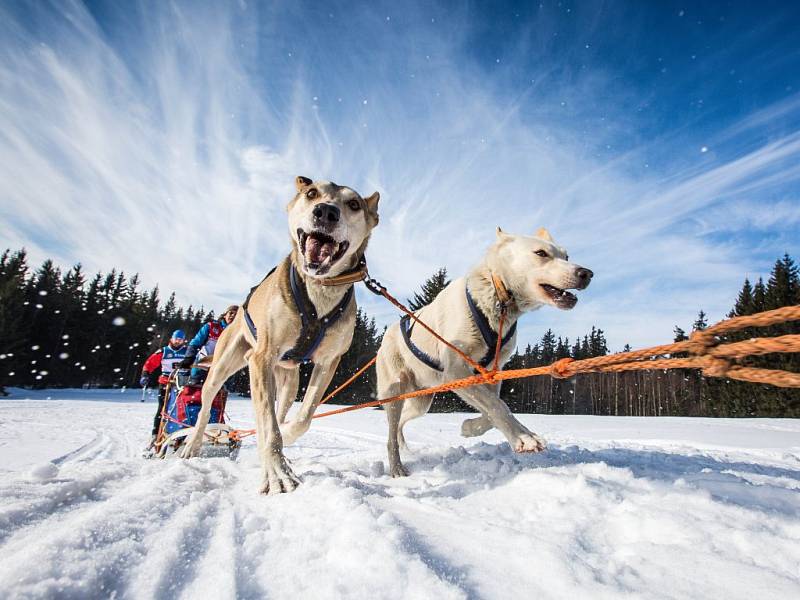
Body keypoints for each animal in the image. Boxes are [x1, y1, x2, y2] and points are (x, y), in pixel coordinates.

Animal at [374, 227, 588, 476]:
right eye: (541, 253)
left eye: (566, 256)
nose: (586, 273)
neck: (498, 296)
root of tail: (387, 335)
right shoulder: (456, 372)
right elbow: (498, 405)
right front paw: (523, 437)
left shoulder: (490, 374)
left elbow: (491, 409)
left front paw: (469, 427)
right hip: (395, 391)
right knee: (390, 434)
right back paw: (397, 467)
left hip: (421, 401)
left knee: (400, 423)